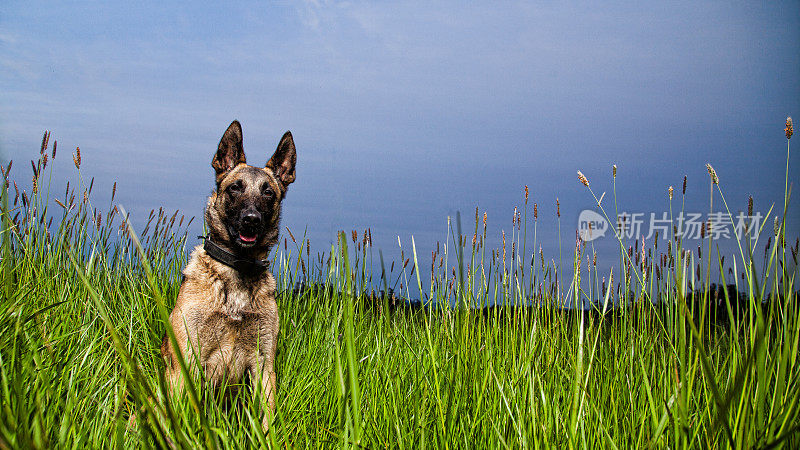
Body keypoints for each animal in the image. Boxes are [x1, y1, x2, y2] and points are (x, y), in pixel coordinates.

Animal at [162, 119, 296, 428]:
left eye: (268, 192)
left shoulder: (263, 364)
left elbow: (266, 420)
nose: (251, 220)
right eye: (235, 188)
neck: (237, 269)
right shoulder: (185, 361)